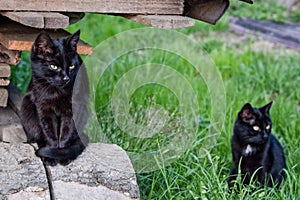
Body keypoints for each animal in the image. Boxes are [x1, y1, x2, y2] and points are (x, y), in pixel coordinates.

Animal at [20, 30, 86, 166]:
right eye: (53, 66)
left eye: (71, 66)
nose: (66, 78)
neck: (56, 92)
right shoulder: (44, 110)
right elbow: (50, 133)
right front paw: (50, 156)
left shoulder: (73, 109)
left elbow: (66, 133)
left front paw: (62, 155)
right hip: (26, 104)